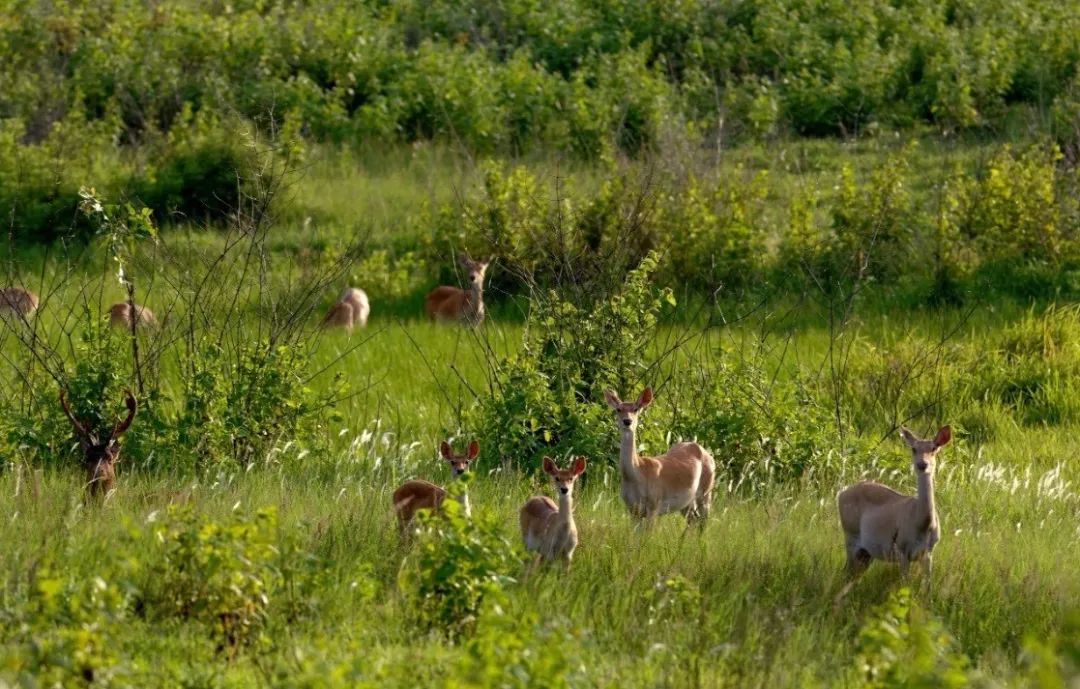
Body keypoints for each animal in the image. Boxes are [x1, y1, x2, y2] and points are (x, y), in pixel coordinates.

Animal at [604, 388, 712, 529]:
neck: (637, 473)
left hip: (706, 491)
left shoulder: (654, 504)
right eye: (618, 409)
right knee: (693, 520)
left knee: (703, 522)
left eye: (636, 409)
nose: (627, 421)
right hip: (687, 501)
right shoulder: (633, 510)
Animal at [833, 423, 954, 591]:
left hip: (866, 551)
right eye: (913, 449)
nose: (922, 464)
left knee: (853, 573)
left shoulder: (929, 551)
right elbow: (905, 584)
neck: (922, 522)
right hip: (850, 534)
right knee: (846, 571)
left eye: (934, 448)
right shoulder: (902, 548)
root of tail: (840, 494)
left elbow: (927, 587)